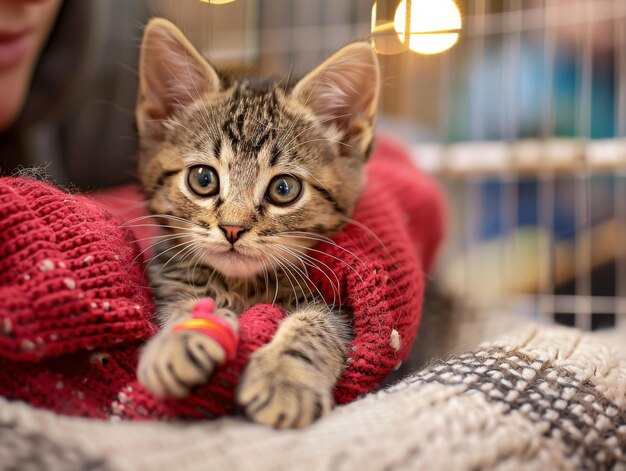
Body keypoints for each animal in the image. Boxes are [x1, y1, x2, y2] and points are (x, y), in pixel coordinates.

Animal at [135, 19, 378, 432]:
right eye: (203, 179)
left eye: (283, 189)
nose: (232, 229)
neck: (243, 286)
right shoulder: (170, 280)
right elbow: (184, 304)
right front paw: (179, 341)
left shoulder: (341, 305)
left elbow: (316, 324)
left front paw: (285, 377)